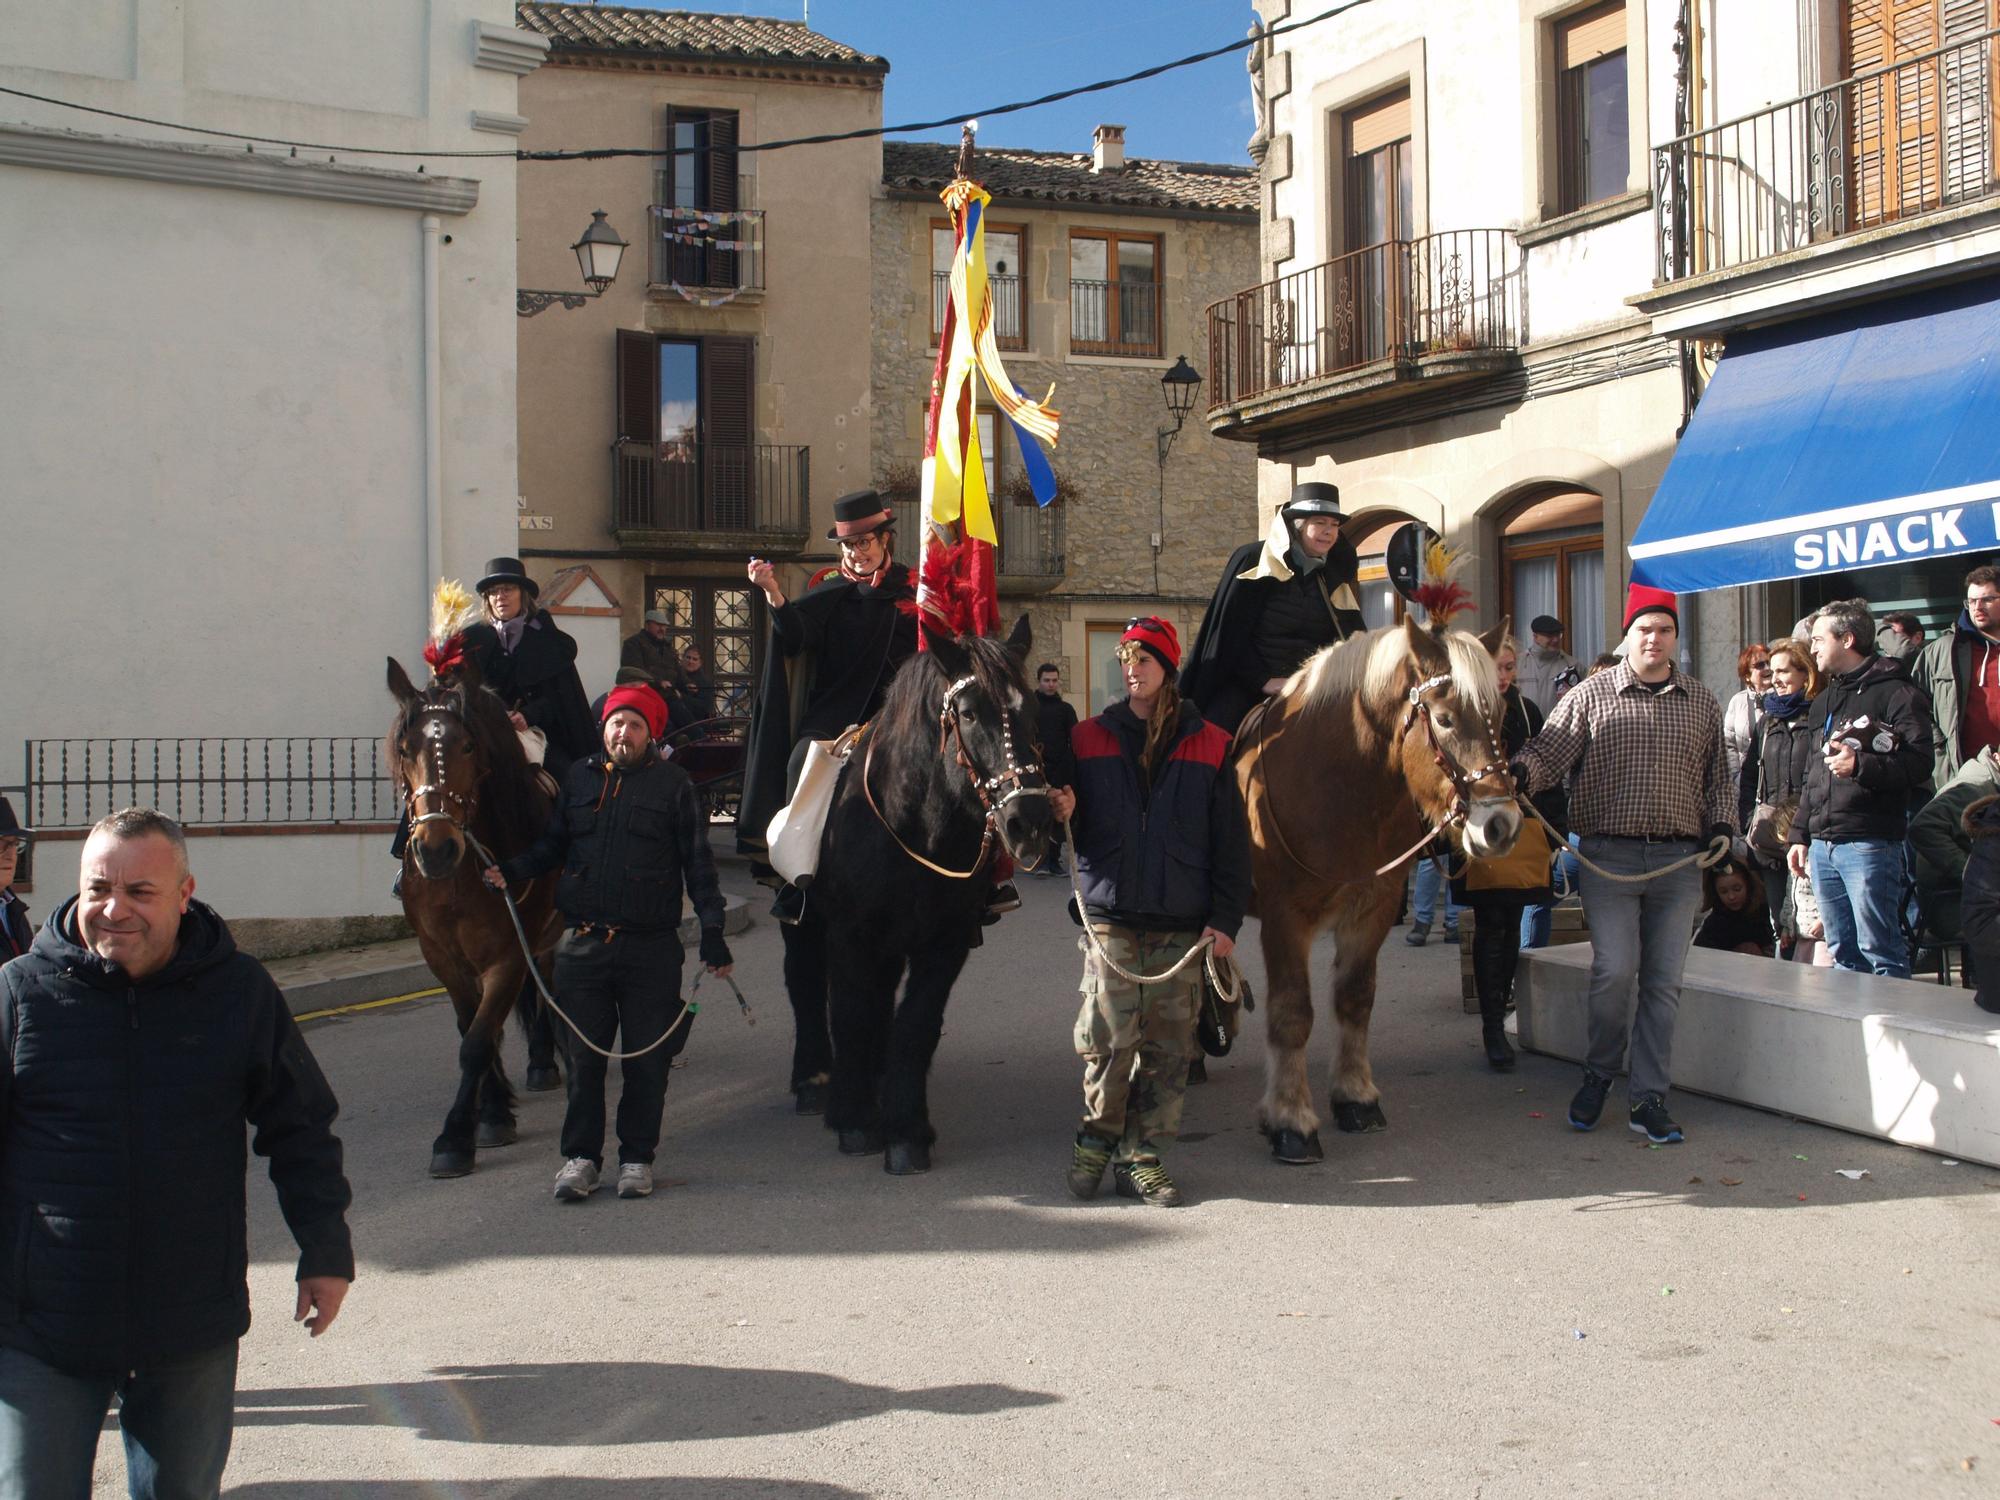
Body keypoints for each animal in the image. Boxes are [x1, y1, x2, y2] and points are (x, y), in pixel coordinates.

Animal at [388, 664, 564, 1184]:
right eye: (404, 750)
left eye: (467, 746)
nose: (435, 849)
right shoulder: (442, 957)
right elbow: (473, 1029)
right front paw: (492, 1110)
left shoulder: (507, 955)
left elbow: (478, 1041)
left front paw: (455, 1138)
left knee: (546, 980)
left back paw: (545, 1060)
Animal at [804, 624, 1064, 1176]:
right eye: (968, 713)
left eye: (1033, 708)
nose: (1029, 823)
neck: (915, 829)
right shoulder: (851, 935)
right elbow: (851, 1014)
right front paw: (855, 1120)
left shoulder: (946, 942)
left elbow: (915, 1025)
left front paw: (905, 1131)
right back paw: (816, 1085)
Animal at [1232, 616, 1512, 1168]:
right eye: (1445, 719)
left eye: (1502, 715)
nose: (1501, 825)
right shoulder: (1284, 918)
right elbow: (1292, 1013)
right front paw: (1290, 1119)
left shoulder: (1374, 910)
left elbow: (1355, 999)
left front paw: (1355, 1096)